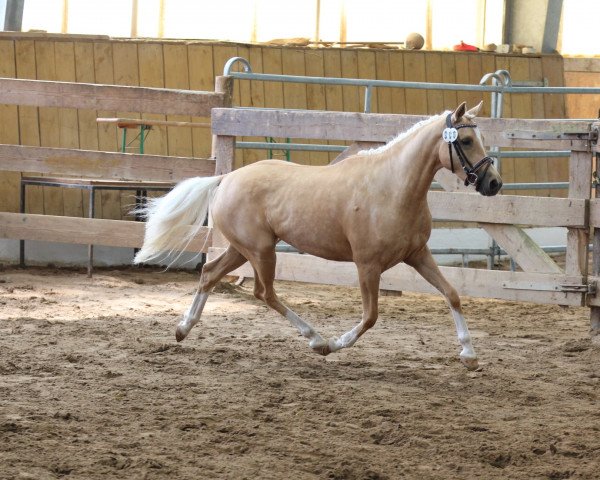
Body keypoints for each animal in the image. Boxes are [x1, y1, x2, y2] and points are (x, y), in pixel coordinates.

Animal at [135, 102, 502, 372]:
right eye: (465, 141)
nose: (494, 183)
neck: (392, 188)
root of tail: (227, 178)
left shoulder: (418, 254)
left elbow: (452, 294)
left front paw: (469, 355)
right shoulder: (367, 265)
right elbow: (370, 317)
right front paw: (334, 345)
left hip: (243, 249)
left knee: (210, 273)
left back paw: (183, 329)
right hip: (261, 250)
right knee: (264, 292)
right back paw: (315, 339)